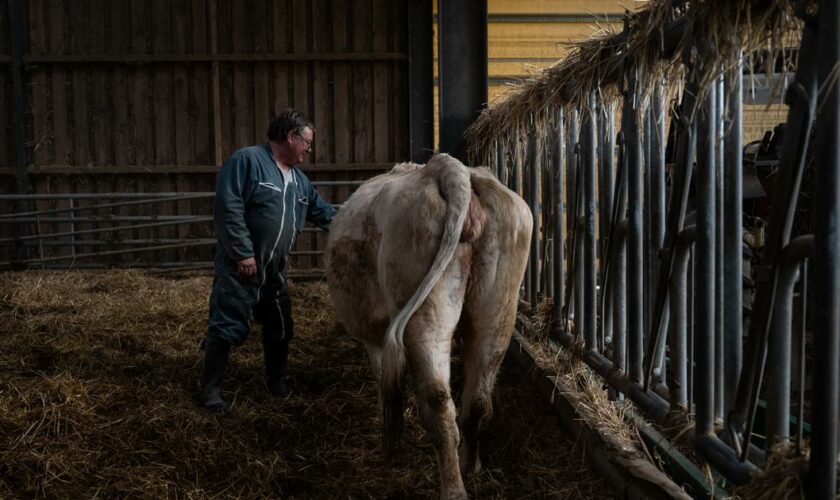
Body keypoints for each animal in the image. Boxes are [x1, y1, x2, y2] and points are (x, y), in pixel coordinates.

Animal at [324, 154, 528, 498]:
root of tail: (449, 169)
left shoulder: (375, 339)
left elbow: (383, 379)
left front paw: (387, 429)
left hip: (426, 319)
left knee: (439, 405)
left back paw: (454, 489)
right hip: (497, 311)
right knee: (477, 401)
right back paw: (470, 466)